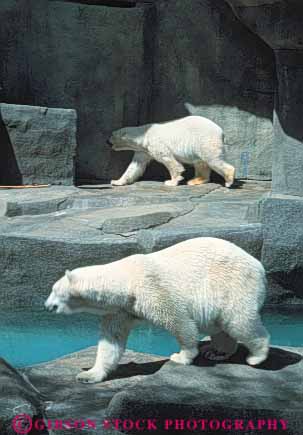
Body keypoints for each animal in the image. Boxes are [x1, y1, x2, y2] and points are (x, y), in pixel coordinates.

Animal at [45, 238, 270, 384]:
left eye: (54, 290)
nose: (47, 306)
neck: (125, 284)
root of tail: (259, 266)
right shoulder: (120, 311)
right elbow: (111, 342)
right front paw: (88, 375)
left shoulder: (151, 289)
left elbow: (179, 321)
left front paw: (182, 356)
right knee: (221, 326)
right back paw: (217, 352)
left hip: (233, 284)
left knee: (239, 321)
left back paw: (256, 356)